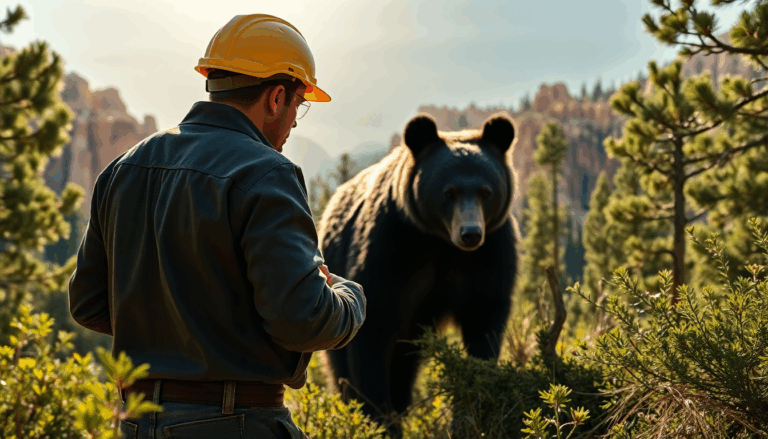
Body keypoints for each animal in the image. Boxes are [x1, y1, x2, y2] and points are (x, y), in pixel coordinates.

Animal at [317, 112, 519, 435]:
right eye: (449, 191)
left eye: (486, 191)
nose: (471, 233)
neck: (440, 241)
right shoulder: (392, 246)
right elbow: (372, 333)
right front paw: (379, 420)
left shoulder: (490, 254)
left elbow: (484, 319)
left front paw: (468, 413)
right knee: (342, 364)